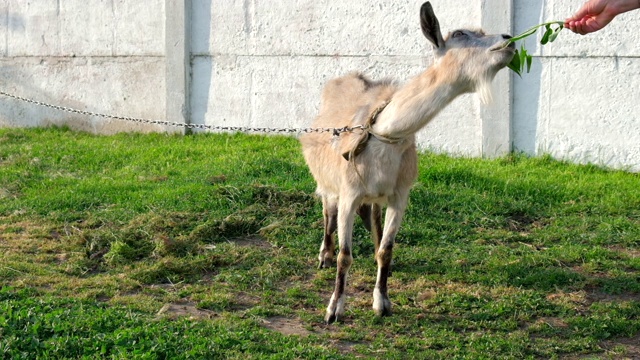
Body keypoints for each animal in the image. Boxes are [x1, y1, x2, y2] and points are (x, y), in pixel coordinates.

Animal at [298, 1, 516, 324]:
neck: (383, 133)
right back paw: (323, 254)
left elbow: (386, 250)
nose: (508, 39)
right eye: (460, 34)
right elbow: (345, 255)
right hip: (327, 181)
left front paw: (382, 302)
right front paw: (334, 308)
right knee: (328, 211)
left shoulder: (400, 195)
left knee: (372, 217)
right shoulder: (349, 192)